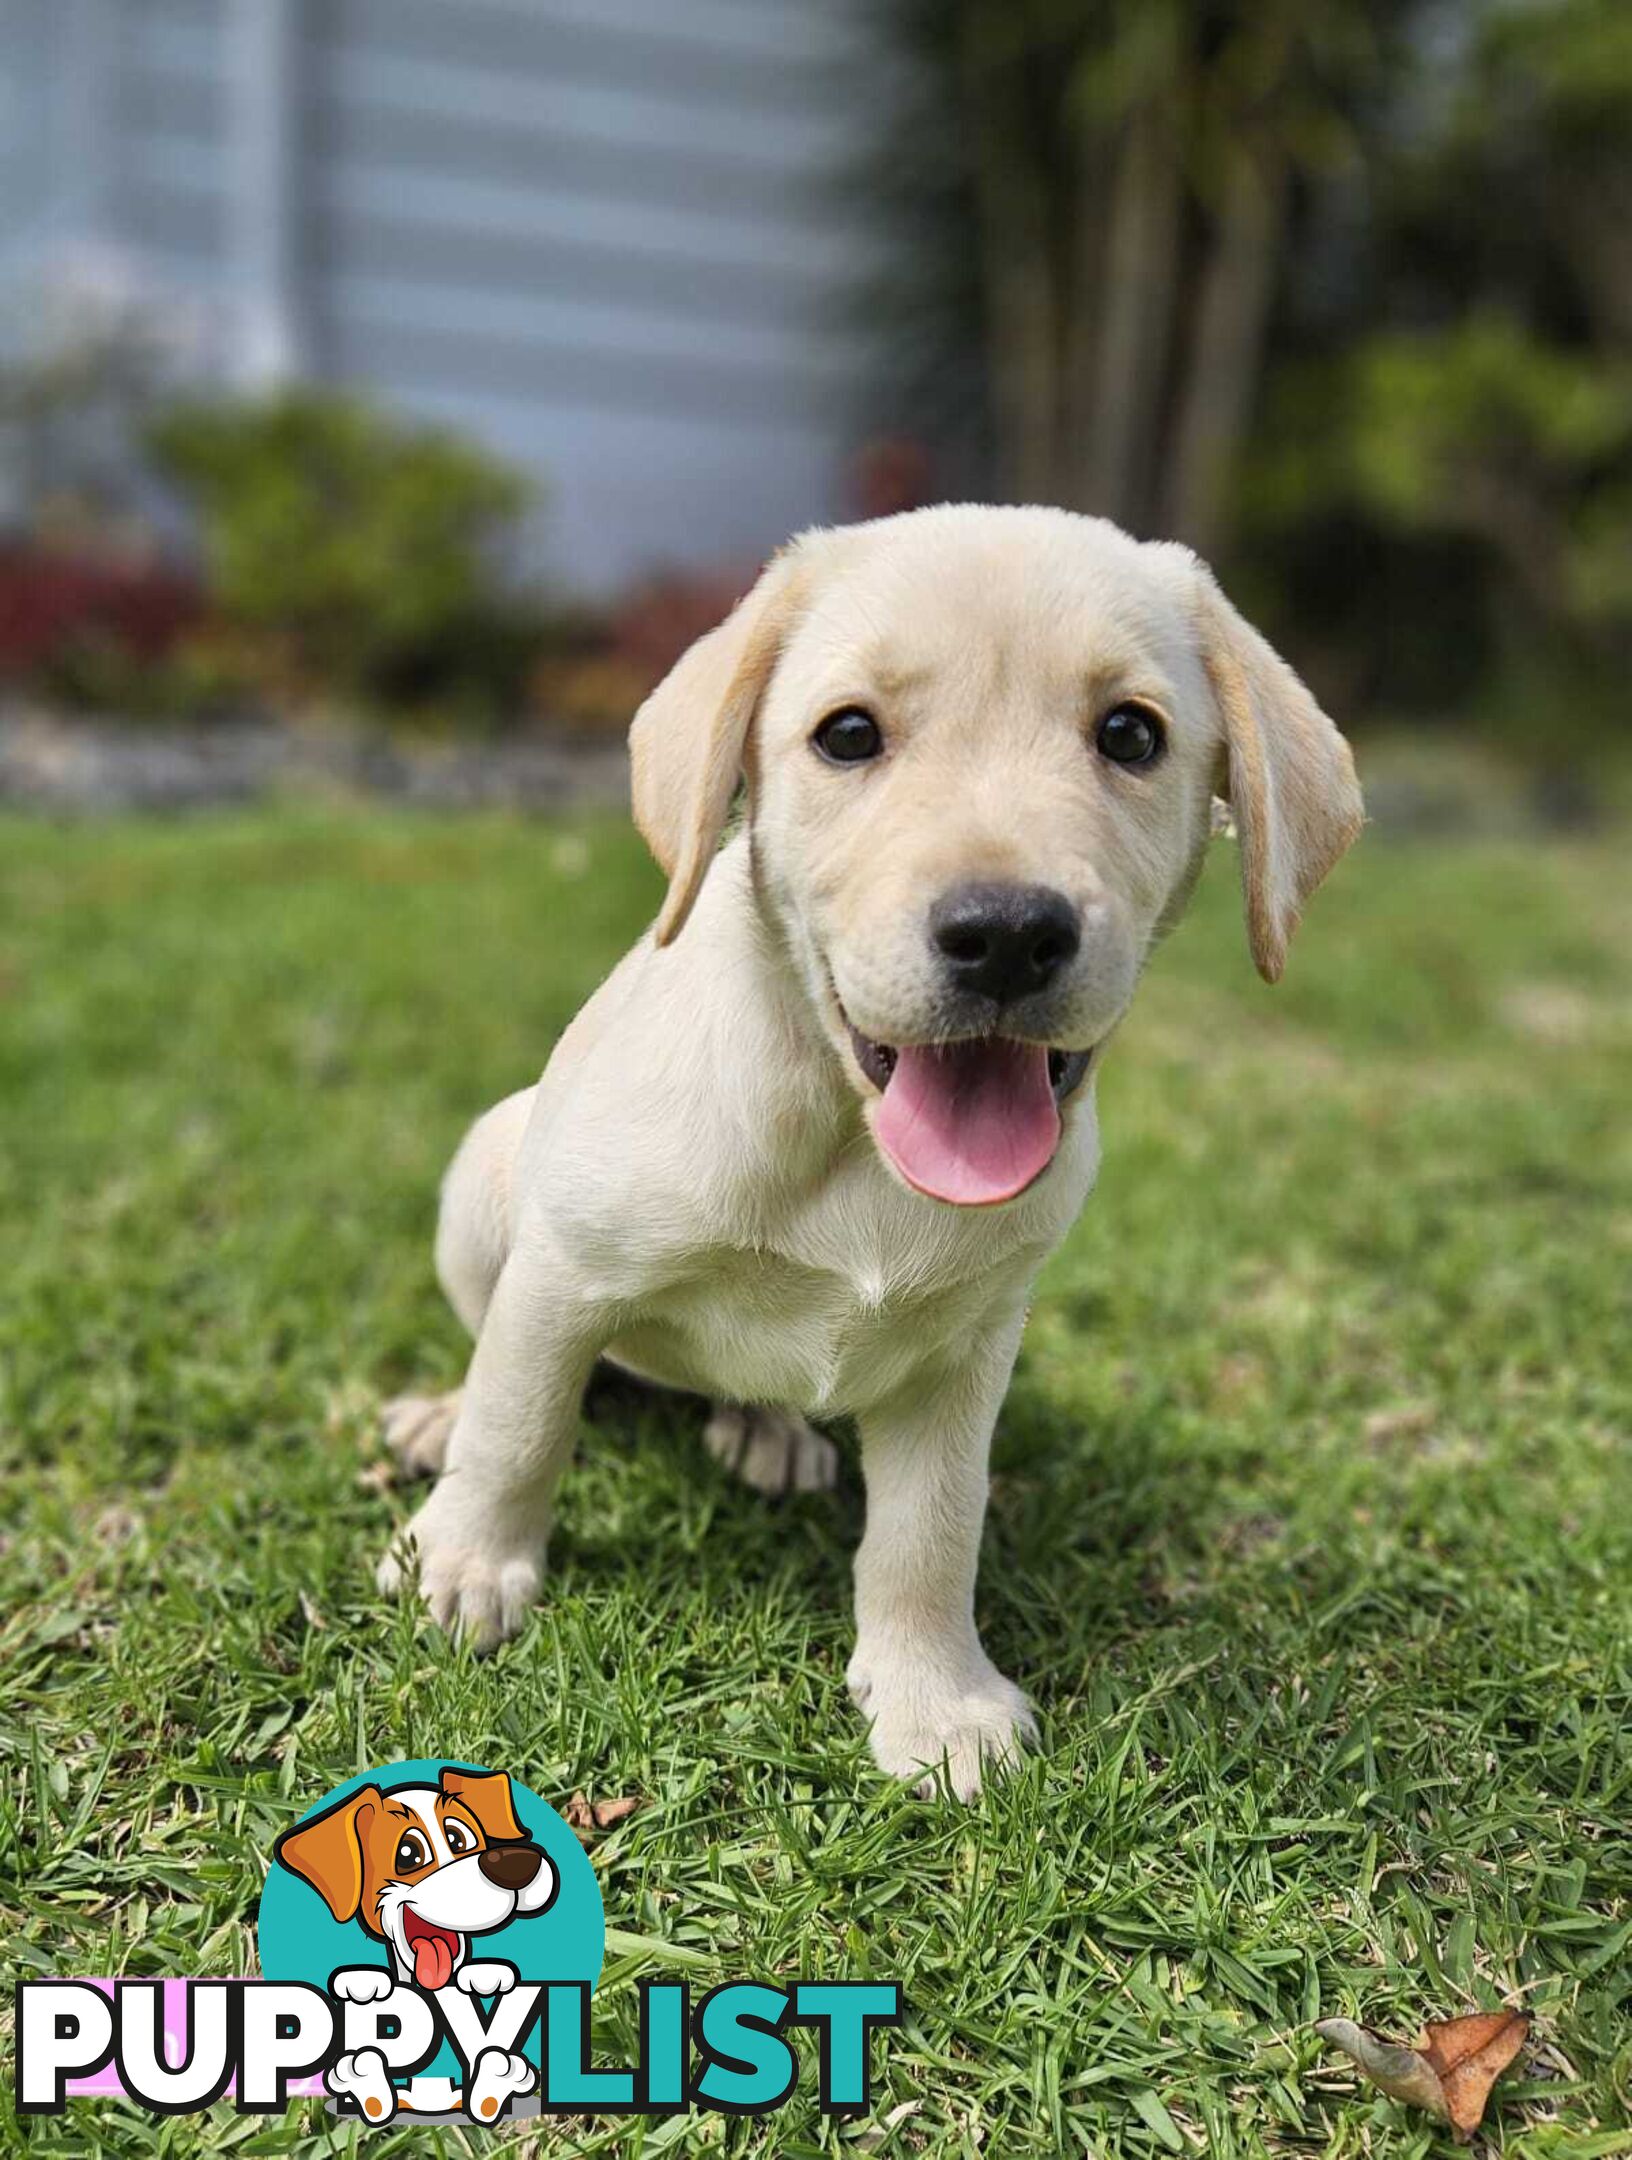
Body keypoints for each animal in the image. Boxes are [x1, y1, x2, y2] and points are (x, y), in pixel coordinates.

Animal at [382, 501, 1364, 1788]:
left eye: (1130, 734)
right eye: (848, 735)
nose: (1007, 934)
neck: (848, 1138)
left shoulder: (966, 1355)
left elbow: (931, 1533)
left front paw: (934, 1699)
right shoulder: (565, 1268)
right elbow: (519, 1423)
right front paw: (464, 1563)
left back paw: (769, 1430)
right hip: (487, 1171)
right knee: (492, 1353)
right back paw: (439, 1420)